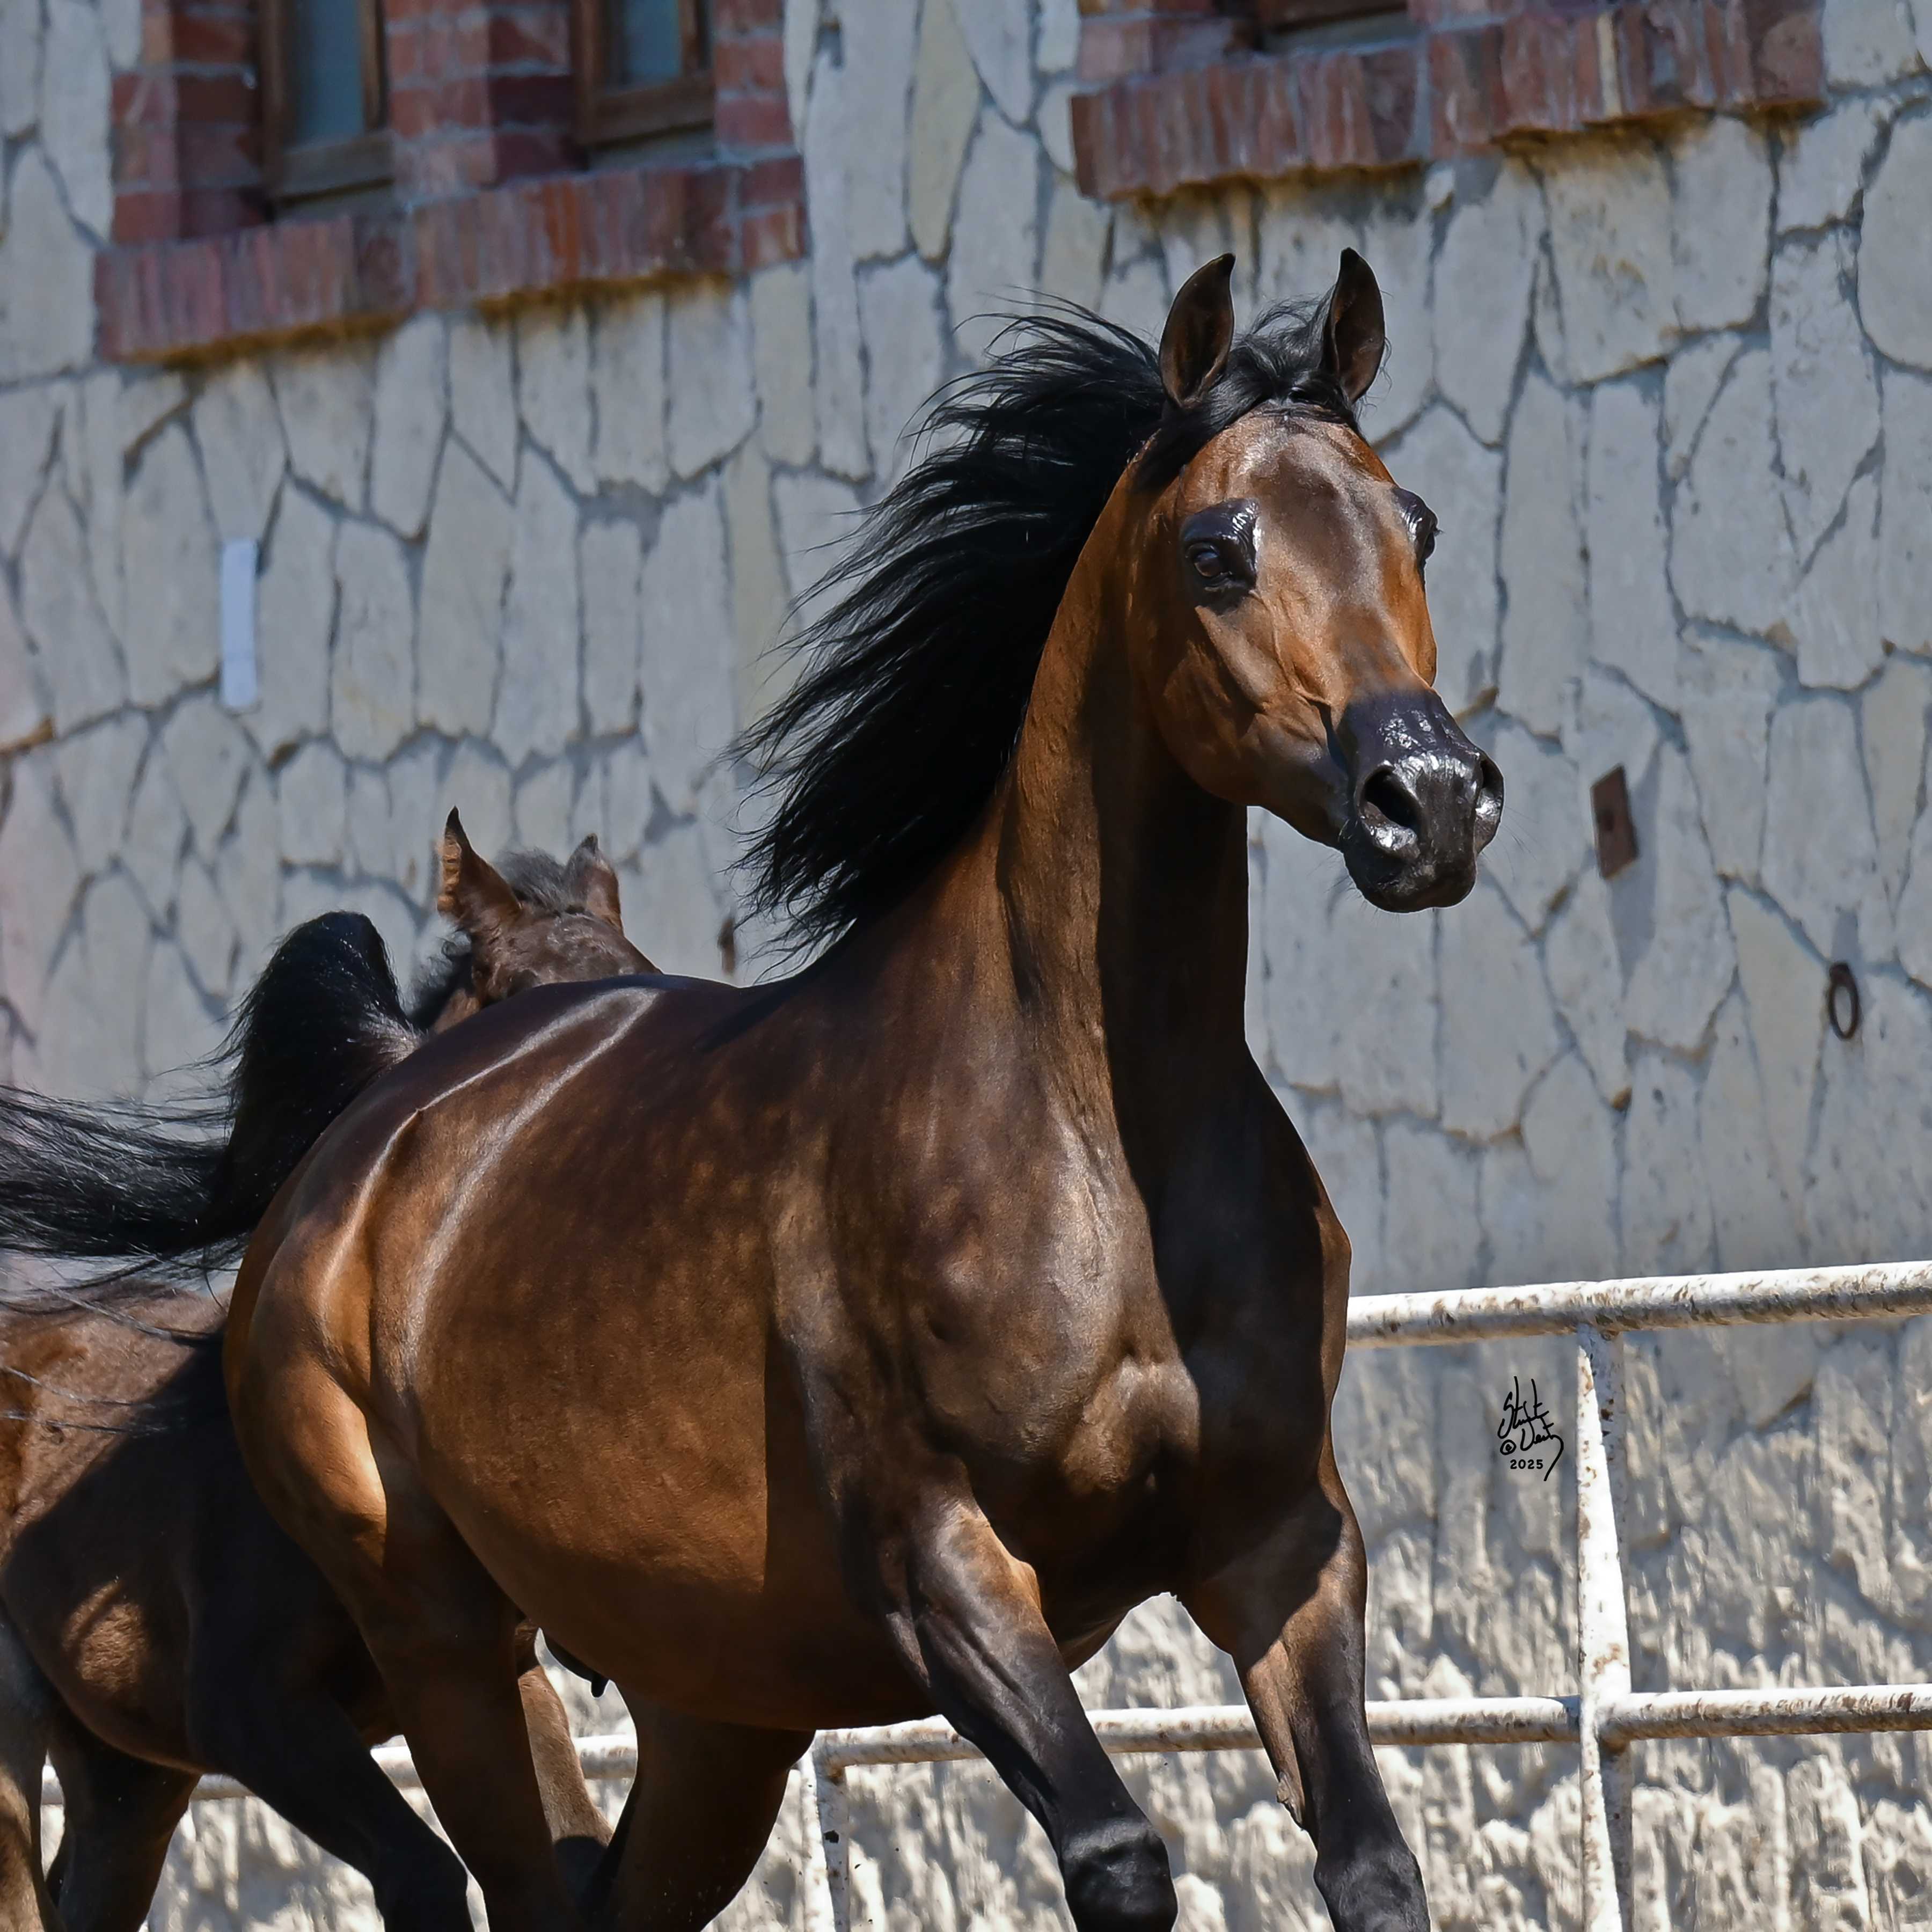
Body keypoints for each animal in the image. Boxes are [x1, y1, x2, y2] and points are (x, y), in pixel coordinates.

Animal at [0, 815, 650, 1930]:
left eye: (650, 976)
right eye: (523, 994)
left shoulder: (491, 1672)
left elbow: (566, 1869)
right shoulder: (248, 1711)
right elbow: (427, 1875)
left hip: (126, 1778)